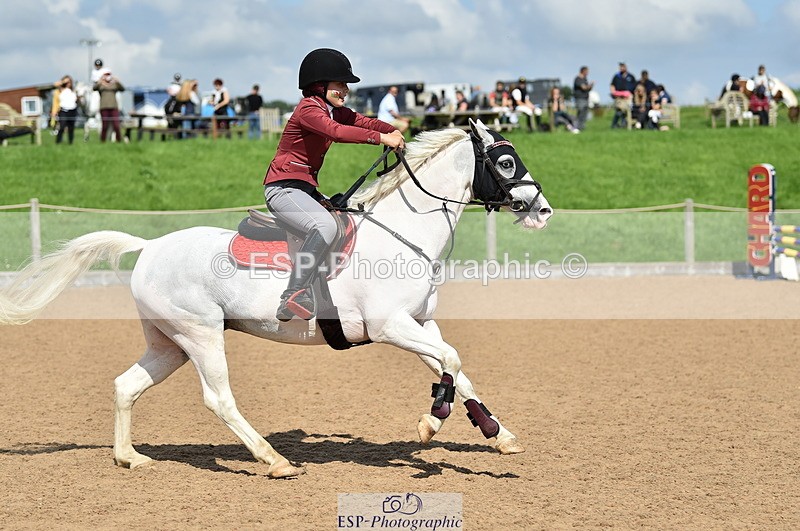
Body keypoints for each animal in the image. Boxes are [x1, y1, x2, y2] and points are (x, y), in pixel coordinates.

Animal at [0, 120, 553, 478]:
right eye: (506, 161)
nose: (542, 209)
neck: (400, 232)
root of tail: (150, 246)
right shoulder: (390, 326)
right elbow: (451, 363)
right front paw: (430, 422)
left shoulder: (421, 324)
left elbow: (458, 368)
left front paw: (498, 434)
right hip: (200, 336)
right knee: (218, 398)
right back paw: (274, 460)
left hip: (169, 343)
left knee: (125, 385)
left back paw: (129, 457)